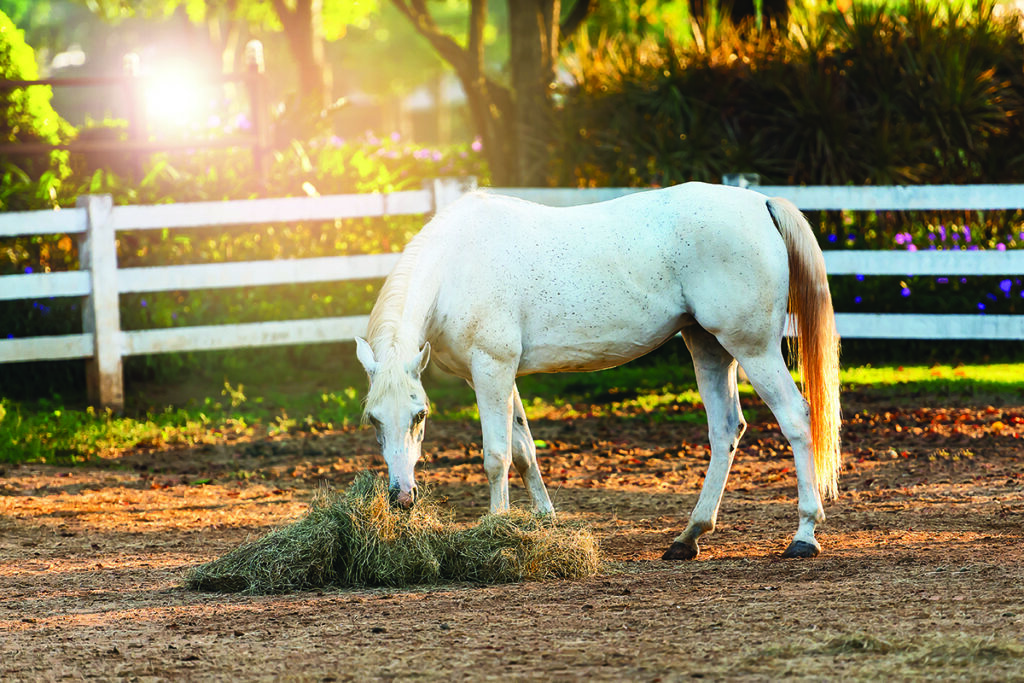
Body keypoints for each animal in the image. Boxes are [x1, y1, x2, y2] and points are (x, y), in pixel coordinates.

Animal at [356, 183, 843, 561]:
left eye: (420, 416)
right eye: (374, 420)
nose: (402, 498)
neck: (456, 264)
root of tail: (761, 203)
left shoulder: (492, 369)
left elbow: (496, 456)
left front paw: (496, 529)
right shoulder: (496, 375)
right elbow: (524, 450)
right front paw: (544, 522)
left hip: (753, 347)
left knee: (796, 417)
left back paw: (804, 535)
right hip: (708, 346)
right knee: (726, 429)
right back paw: (688, 537)